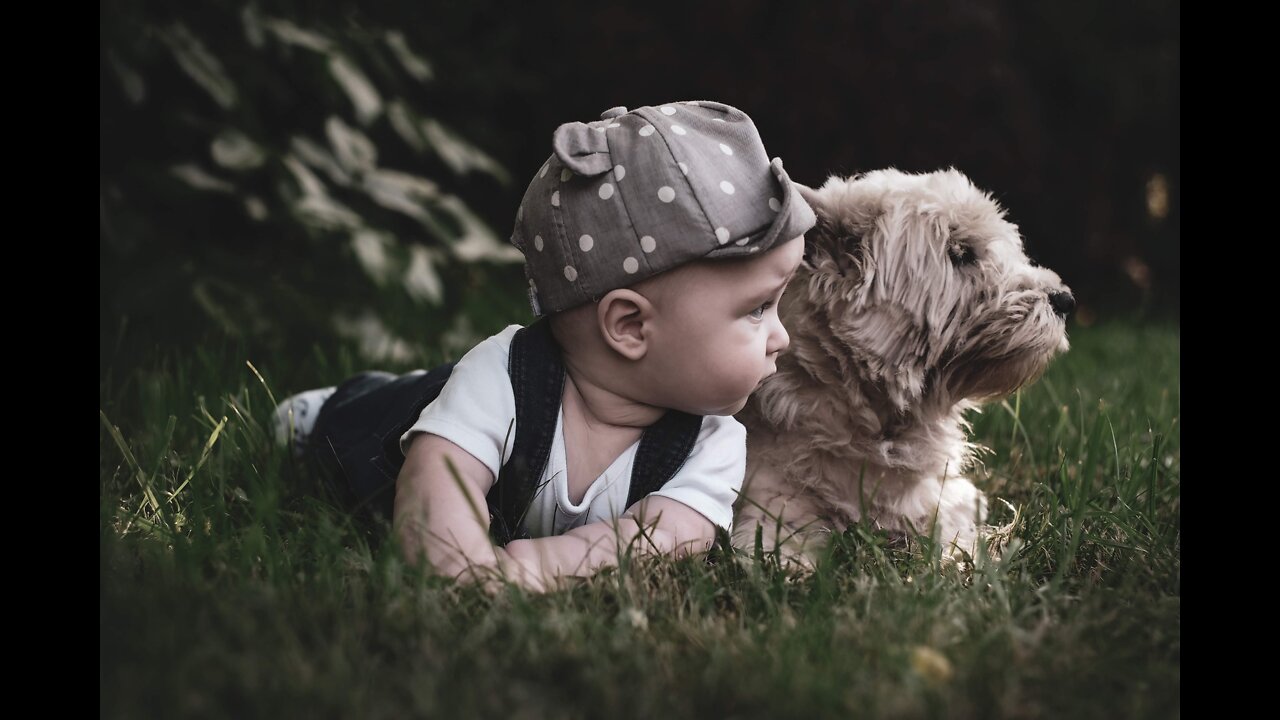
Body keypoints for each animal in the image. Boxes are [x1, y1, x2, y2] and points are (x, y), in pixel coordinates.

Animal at [732, 167, 1070, 566]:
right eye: (961, 253)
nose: (1065, 299)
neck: (877, 424)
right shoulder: (774, 498)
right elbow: (778, 542)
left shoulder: (938, 502)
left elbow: (951, 537)